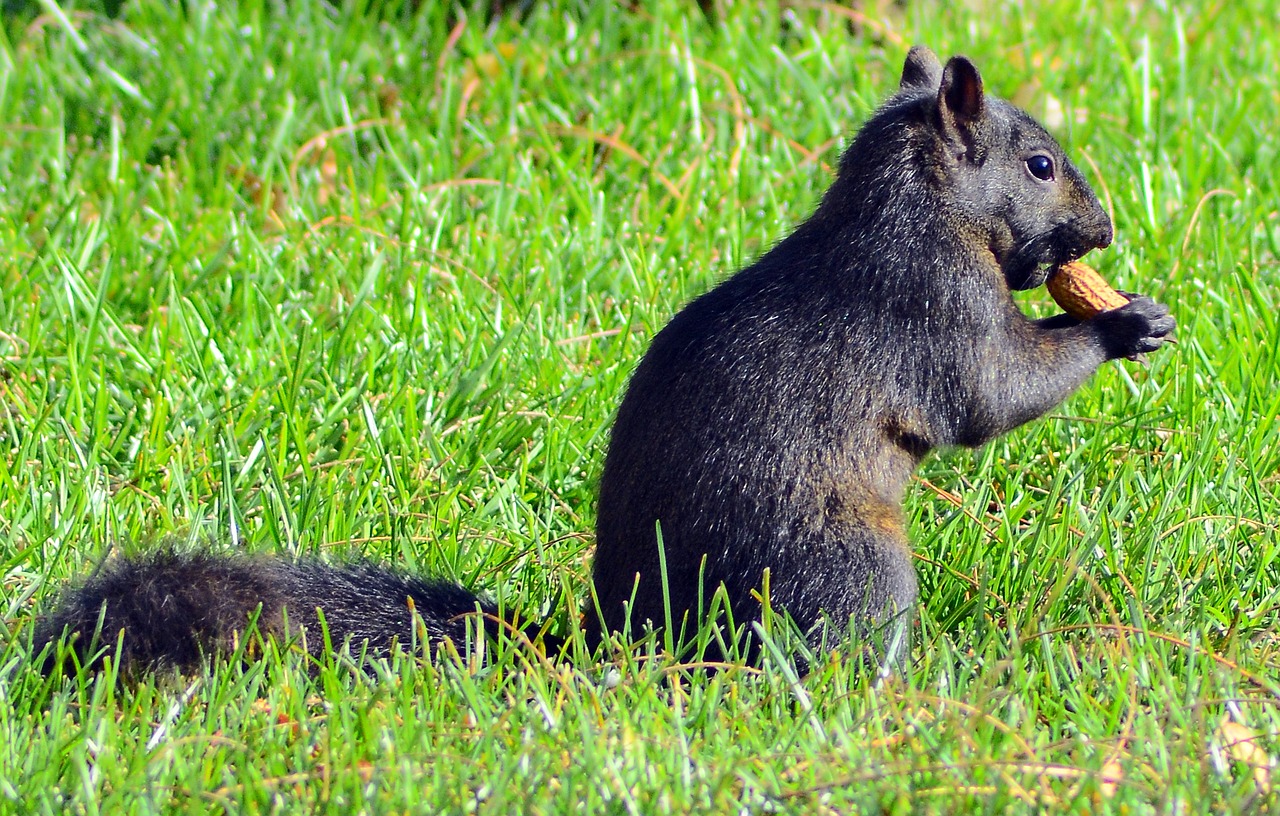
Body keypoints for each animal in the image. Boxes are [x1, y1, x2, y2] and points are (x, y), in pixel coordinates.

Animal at [32, 47, 1172, 680]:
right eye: (1038, 164)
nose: (1104, 232)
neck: (917, 209)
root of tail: (627, 635)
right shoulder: (931, 305)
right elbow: (993, 392)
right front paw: (1122, 325)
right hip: (843, 566)